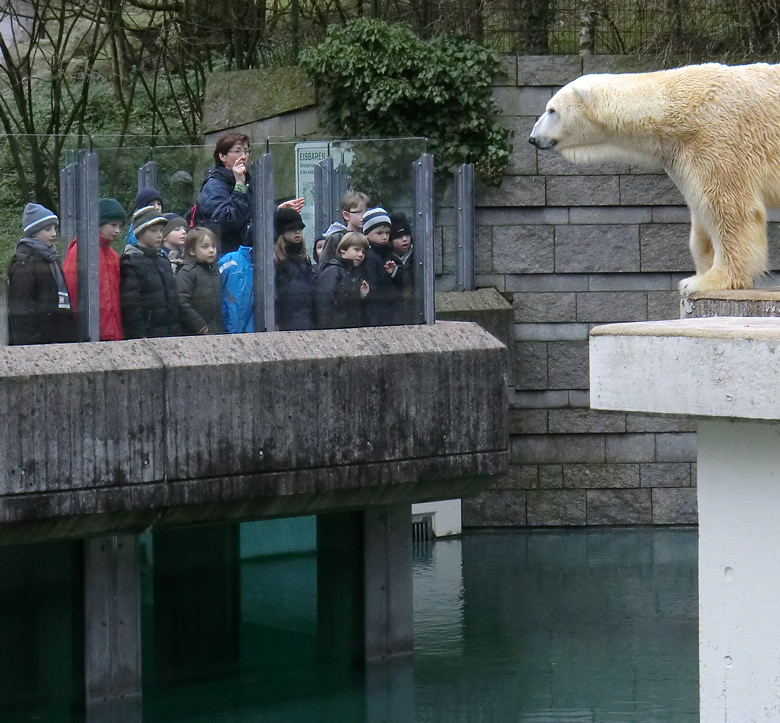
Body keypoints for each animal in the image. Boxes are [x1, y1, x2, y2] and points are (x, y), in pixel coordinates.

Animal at [532, 63, 780, 294]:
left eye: (551, 110)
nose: (533, 138)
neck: (675, 110)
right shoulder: (682, 157)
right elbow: (701, 209)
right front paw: (699, 271)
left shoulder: (718, 138)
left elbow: (731, 208)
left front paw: (708, 280)